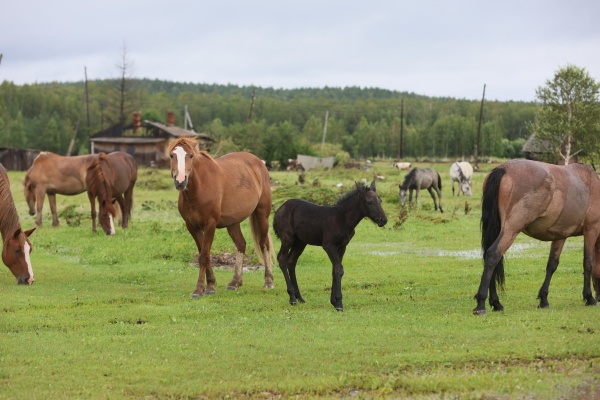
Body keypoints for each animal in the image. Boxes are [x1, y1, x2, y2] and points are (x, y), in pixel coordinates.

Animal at [166, 137, 274, 296]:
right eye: (171, 156)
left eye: (191, 156)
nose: (180, 181)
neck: (199, 188)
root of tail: (259, 163)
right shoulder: (192, 226)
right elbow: (204, 254)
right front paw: (210, 284)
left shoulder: (210, 224)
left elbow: (204, 256)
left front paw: (200, 289)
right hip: (233, 222)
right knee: (241, 244)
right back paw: (235, 282)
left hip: (262, 214)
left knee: (264, 243)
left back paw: (268, 281)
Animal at [274, 181, 386, 312]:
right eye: (369, 202)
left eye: (380, 200)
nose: (383, 220)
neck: (343, 219)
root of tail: (279, 210)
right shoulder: (328, 245)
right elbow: (338, 269)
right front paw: (338, 303)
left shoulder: (342, 246)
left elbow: (335, 270)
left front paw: (334, 301)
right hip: (287, 238)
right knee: (282, 259)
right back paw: (292, 297)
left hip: (300, 242)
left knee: (291, 261)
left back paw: (299, 297)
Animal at [476, 159, 600, 316]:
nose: (599, 297)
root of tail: (503, 168)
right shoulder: (592, 230)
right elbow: (588, 263)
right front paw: (589, 297)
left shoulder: (560, 235)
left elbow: (552, 265)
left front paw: (544, 299)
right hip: (511, 230)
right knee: (493, 255)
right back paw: (481, 304)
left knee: (490, 257)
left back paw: (496, 303)